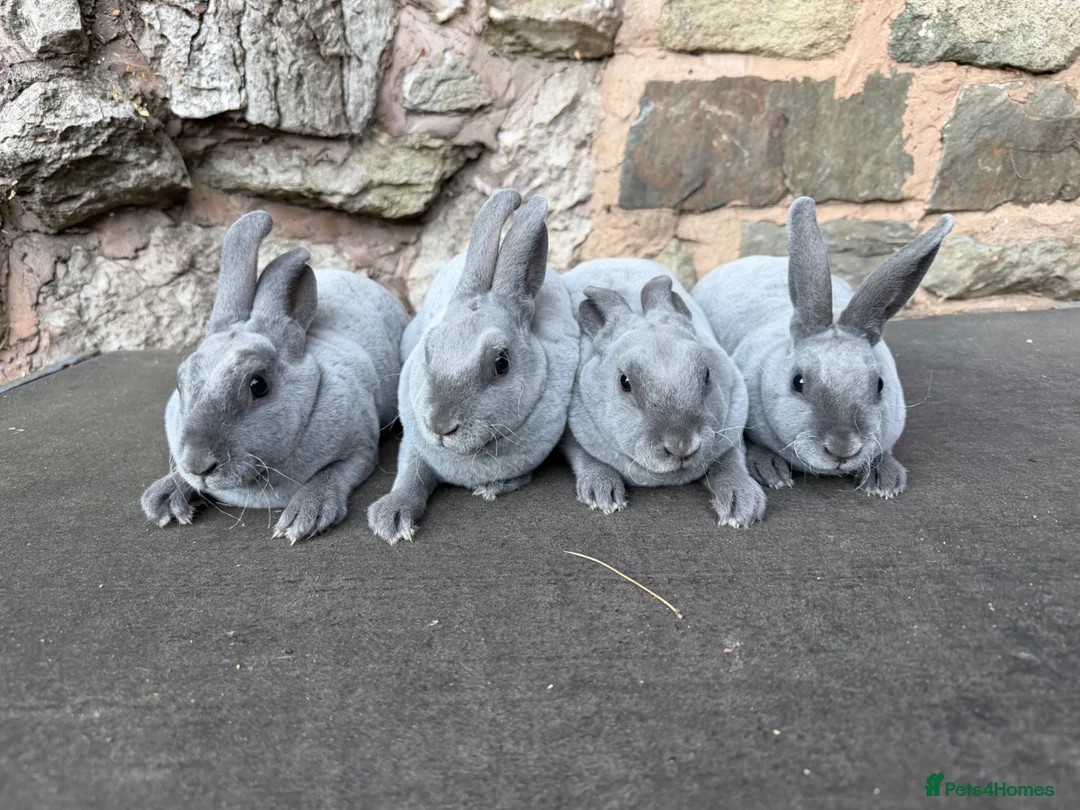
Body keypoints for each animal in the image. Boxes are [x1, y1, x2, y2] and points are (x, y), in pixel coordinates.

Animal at [140, 210, 409, 544]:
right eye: (180, 383)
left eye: (259, 385)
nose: (199, 465)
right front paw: (165, 498)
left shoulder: (361, 450)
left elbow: (333, 473)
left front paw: (305, 515)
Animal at [367, 189, 579, 545]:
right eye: (428, 349)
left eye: (501, 363)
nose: (440, 427)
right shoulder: (414, 447)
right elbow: (411, 474)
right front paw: (391, 518)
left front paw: (492, 487)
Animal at [560, 259, 766, 527]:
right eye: (624, 382)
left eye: (707, 374)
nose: (682, 446)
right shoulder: (574, 436)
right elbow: (586, 457)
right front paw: (602, 494)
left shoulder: (732, 435)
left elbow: (729, 462)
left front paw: (742, 504)